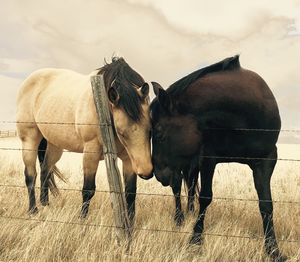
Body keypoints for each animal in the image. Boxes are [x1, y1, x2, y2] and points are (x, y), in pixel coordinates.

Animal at [16, 57, 152, 221]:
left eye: (150, 130)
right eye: (121, 132)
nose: (146, 172)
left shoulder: (129, 159)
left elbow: (131, 192)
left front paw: (131, 223)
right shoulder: (91, 153)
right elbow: (88, 189)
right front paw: (82, 219)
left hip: (54, 145)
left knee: (45, 171)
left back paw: (45, 204)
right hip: (29, 140)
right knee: (31, 176)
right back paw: (33, 210)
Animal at [151, 55, 284, 260]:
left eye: (158, 133)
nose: (158, 175)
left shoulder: (266, 160)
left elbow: (266, 204)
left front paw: (273, 250)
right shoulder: (208, 158)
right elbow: (205, 197)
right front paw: (196, 240)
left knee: (189, 187)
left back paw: (189, 213)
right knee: (178, 187)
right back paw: (180, 218)